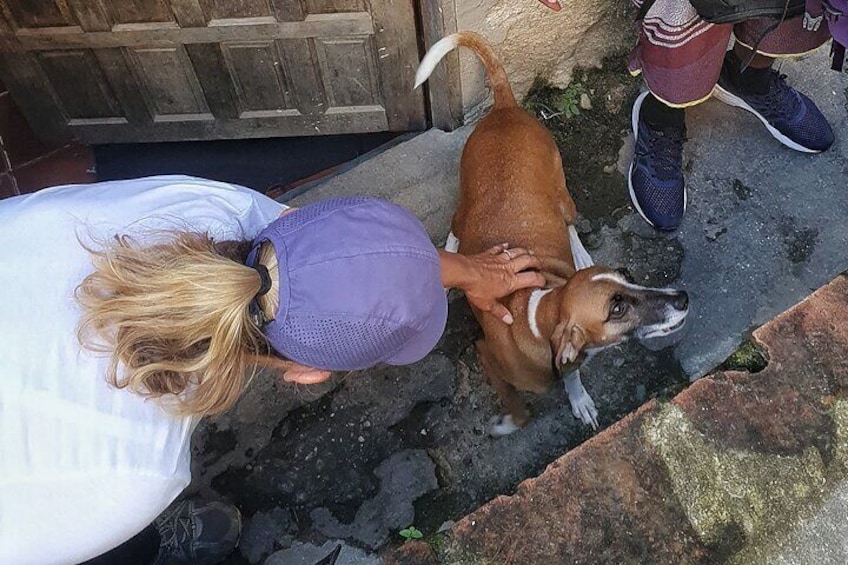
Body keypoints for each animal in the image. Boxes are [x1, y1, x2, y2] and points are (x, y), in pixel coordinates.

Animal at [416, 32, 688, 436]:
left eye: (628, 275)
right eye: (616, 308)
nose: (683, 297)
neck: (539, 312)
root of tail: (504, 107)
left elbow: (570, 377)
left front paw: (578, 399)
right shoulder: (486, 355)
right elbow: (521, 410)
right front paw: (509, 424)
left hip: (561, 192)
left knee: (567, 220)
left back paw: (579, 251)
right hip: (467, 202)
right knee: (455, 226)